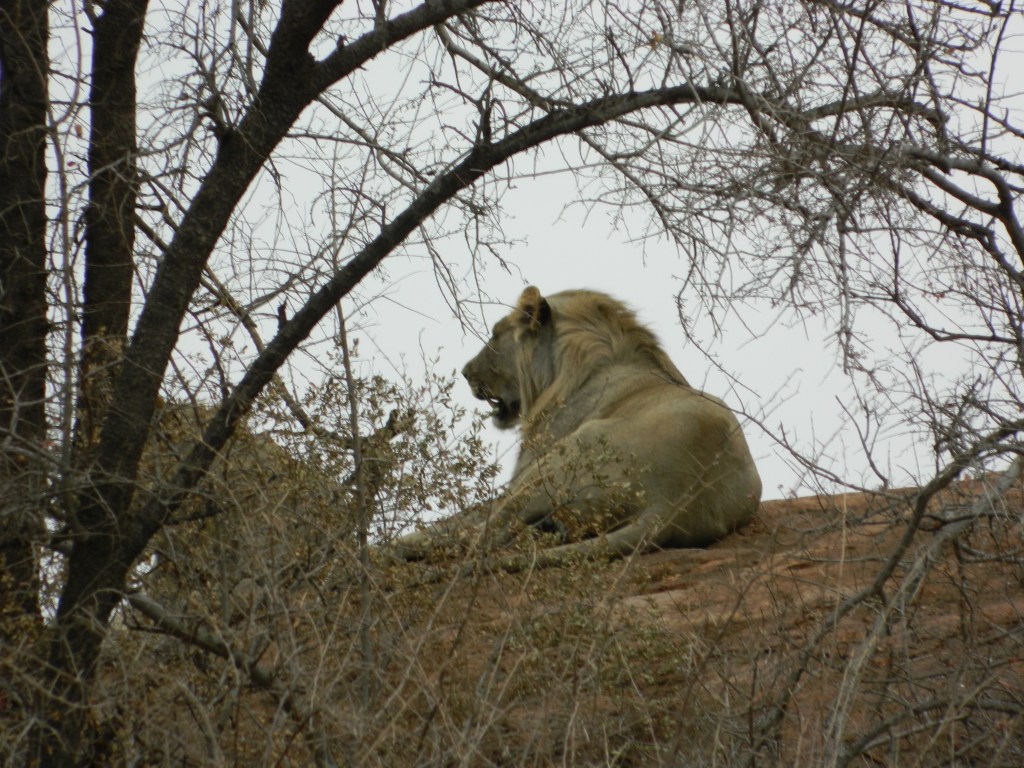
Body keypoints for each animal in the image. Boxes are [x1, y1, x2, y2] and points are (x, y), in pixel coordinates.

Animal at [394, 286, 762, 567]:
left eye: (496, 334)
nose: (466, 371)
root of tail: (673, 504)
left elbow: (467, 517)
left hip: (562, 456)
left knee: (482, 534)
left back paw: (393, 548)